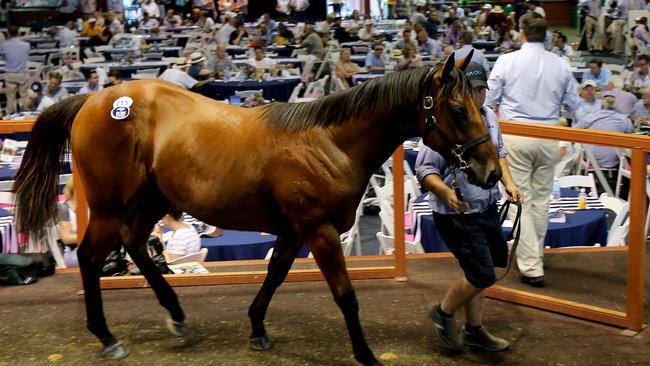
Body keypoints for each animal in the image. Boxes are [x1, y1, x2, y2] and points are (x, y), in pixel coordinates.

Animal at [12, 53, 498, 364]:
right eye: (458, 109)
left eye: (478, 104)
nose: (490, 171)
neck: (329, 142)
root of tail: (93, 100)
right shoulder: (318, 229)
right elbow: (345, 294)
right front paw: (366, 354)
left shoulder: (293, 230)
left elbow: (275, 273)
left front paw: (258, 329)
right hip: (110, 205)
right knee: (92, 258)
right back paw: (108, 337)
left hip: (151, 199)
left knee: (134, 244)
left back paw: (177, 317)